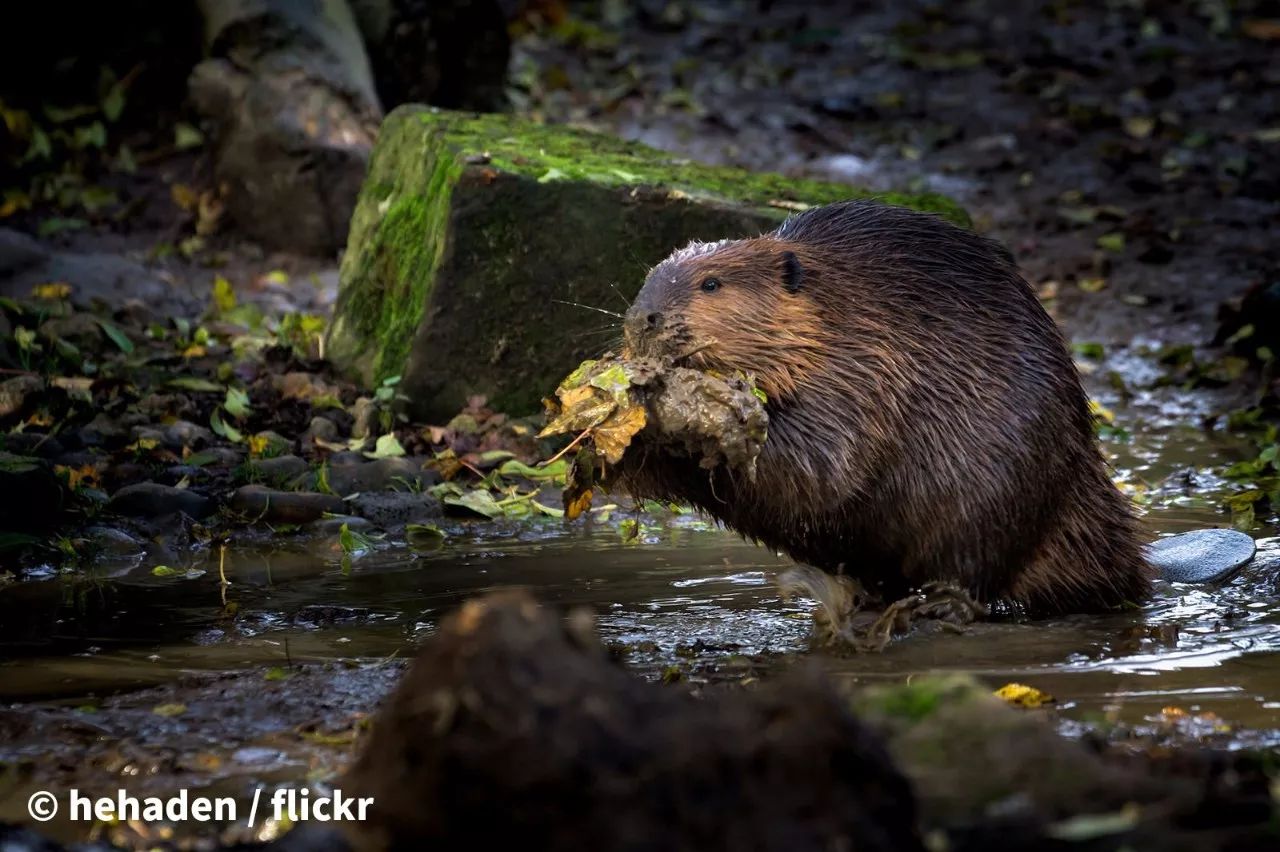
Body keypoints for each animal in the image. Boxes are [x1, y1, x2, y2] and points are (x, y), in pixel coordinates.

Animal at [616, 199, 1152, 611]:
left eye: (711, 284)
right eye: (649, 277)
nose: (644, 318)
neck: (838, 312)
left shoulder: (865, 366)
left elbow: (823, 465)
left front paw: (676, 410)